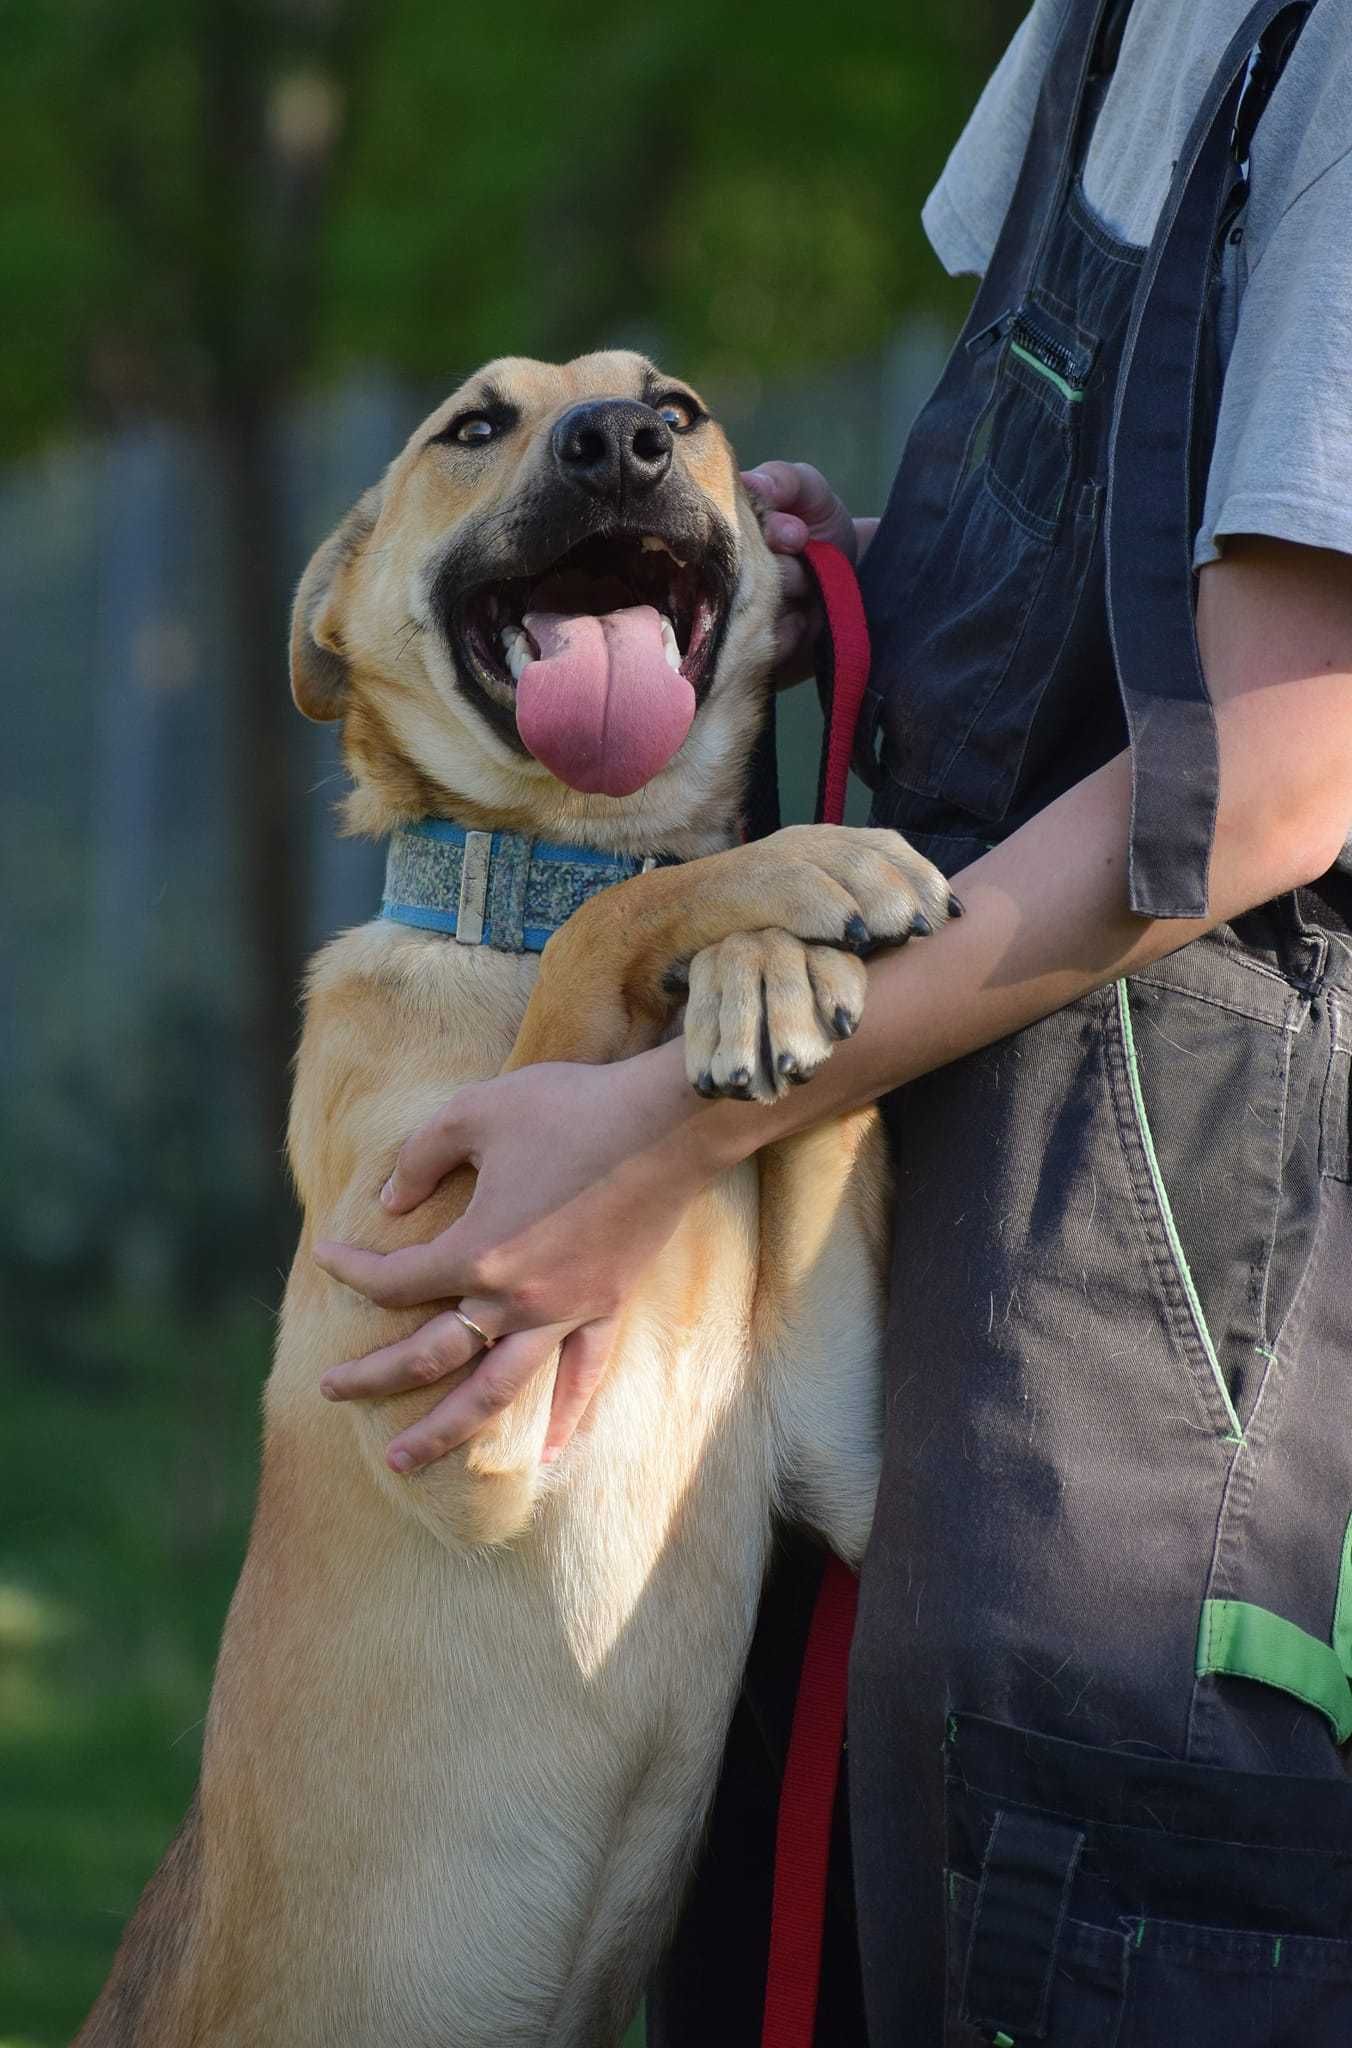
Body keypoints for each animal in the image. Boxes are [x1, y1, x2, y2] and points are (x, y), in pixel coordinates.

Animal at [81, 356, 950, 2048]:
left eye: (680, 399)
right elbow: (619, 916)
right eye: (474, 426)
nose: (623, 444)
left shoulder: (848, 1447)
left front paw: (765, 971)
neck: (525, 885)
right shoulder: (468, 1429)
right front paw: (795, 879)